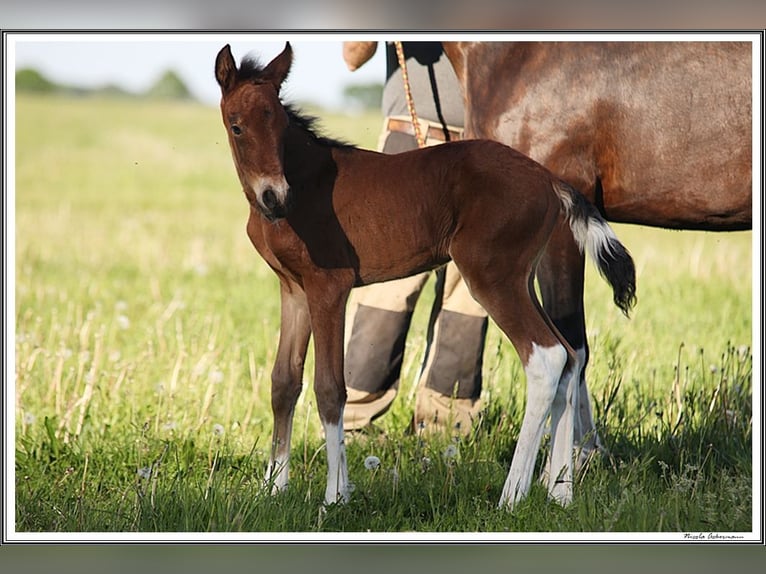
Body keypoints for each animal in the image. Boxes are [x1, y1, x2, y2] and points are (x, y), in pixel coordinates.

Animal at [214, 42, 636, 509]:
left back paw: (511, 496)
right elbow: (284, 382)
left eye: (280, 124)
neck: (305, 185)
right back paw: (559, 493)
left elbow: (330, 388)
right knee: (571, 355)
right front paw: (273, 488)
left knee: (546, 357)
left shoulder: (330, 287)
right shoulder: (293, 288)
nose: (275, 196)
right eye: (237, 126)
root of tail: (549, 179)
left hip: (491, 276)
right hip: (520, 278)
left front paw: (334, 497)